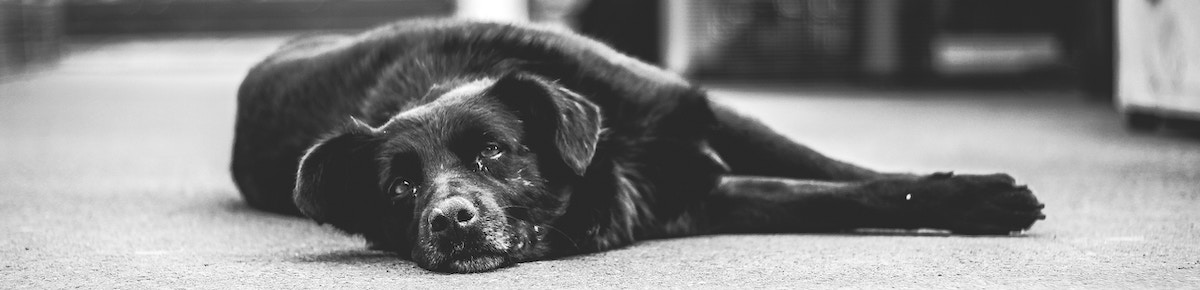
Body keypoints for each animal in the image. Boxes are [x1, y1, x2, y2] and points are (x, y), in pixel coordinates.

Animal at [229, 19, 1046, 273]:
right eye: (401, 189)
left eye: (492, 153)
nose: (449, 221)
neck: (610, 148)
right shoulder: (695, 197)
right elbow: (825, 198)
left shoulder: (705, 116)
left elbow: (841, 172)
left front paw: (978, 195)